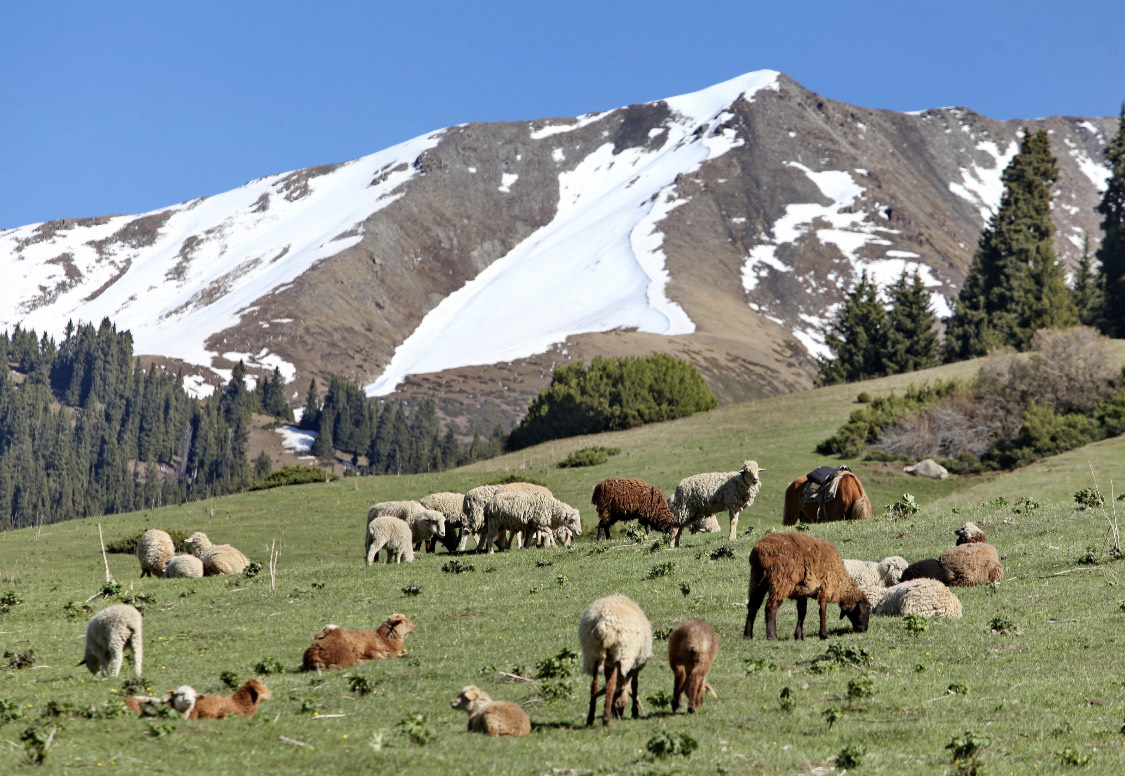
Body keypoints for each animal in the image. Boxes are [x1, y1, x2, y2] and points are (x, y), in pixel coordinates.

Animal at [576, 593, 657, 724]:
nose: (618, 714)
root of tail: (603, 626)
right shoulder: (636, 664)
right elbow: (635, 686)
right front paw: (635, 712)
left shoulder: (608, 665)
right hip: (620, 654)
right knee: (611, 686)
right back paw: (606, 720)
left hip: (593, 654)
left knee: (594, 686)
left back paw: (590, 719)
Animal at [742, 528, 873, 638]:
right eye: (866, 610)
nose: (864, 629)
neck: (840, 581)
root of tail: (760, 552)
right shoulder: (825, 588)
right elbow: (822, 611)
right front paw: (824, 635)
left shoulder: (802, 592)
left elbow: (802, 612)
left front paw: (799, 636)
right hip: (780, 581)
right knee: (770, 607)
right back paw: (772, 636)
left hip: (757, 580)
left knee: (753, 606)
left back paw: (748, 635)